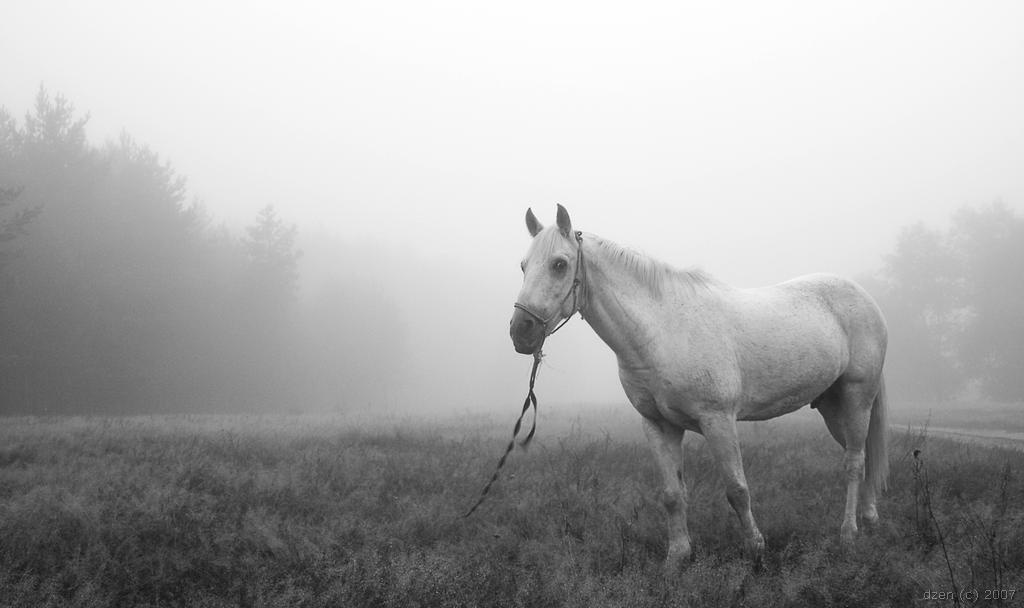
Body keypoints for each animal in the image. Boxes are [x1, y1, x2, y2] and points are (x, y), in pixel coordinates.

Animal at [509, 204, 889, 570]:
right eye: (524, 266)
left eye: (560, 264)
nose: (520, 331)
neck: (662, 331)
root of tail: (866, 300)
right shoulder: (659, 426)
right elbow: (672, 494)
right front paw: (678, 556)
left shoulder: (717, 420)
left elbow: (737, 489)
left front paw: (756, 550)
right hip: (831, 406)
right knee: (862, 455)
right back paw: (870, 520)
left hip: (857, 398)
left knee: (854, 462)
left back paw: (849, 533)